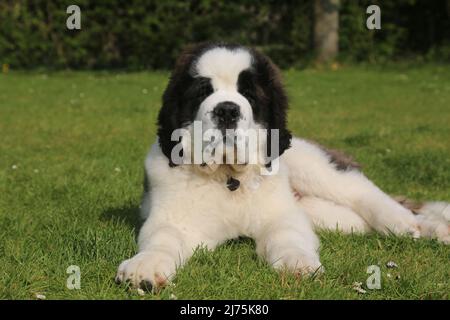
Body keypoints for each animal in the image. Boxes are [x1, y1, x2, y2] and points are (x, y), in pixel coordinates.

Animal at [116, 42, 450, 290]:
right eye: (202, 92)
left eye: (249, 94)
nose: (227, 111)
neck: (228, 178)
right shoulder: (173, 217)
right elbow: (163, 238)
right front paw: (145, 267)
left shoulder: (282, 214)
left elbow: (285, 235)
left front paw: (297, 263)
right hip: (330, 216)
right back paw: (436, 229)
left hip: (313, 165)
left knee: (368, 195)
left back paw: (406, 223)